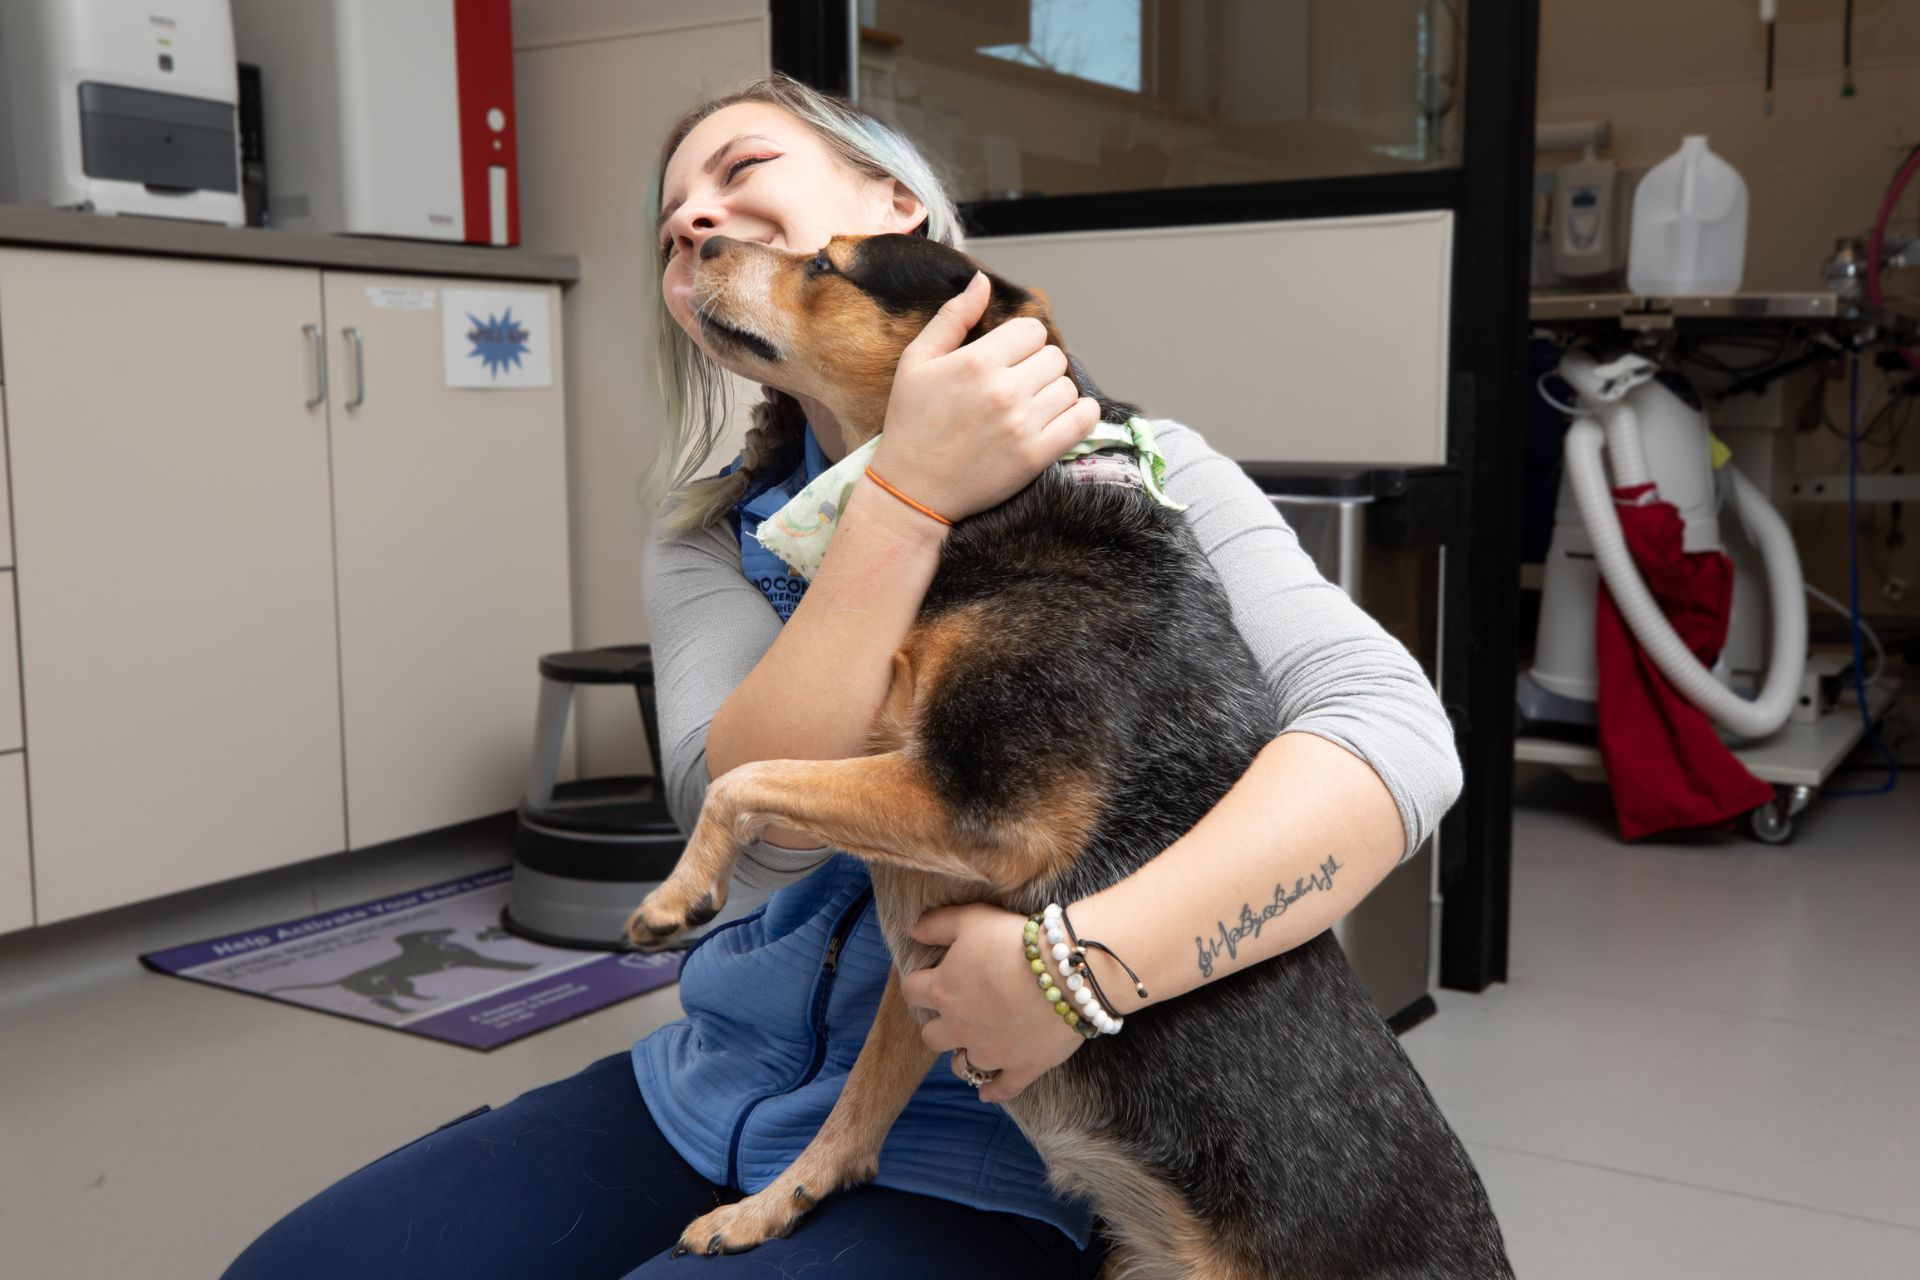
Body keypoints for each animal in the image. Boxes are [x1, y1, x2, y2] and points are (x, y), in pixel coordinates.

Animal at [633, 233, 1512, 1280]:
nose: (696, 238)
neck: (1017, 496)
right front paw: (769, 1205)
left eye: (826, 263)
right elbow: (854, 1108)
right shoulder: (922, 949)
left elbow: (743, 779)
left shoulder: (989, 810)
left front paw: (680, 893)